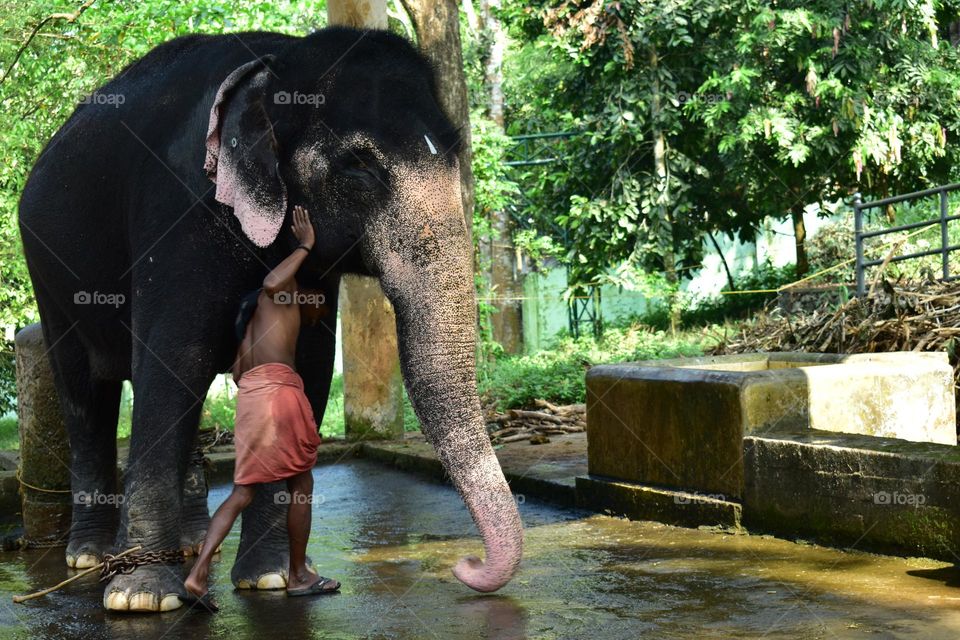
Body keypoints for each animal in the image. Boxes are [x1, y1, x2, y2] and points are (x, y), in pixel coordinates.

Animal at [18, 26, 523, 612]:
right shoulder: (178, 210)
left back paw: (189, 546)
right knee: (85, 394)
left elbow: (308, 366)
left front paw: (269, 581)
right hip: (48, 276)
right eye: (357, 165)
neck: (278, 60)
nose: (467, 565)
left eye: (457, 152)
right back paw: (89, 558)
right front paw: (141, 599)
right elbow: (173, 362)